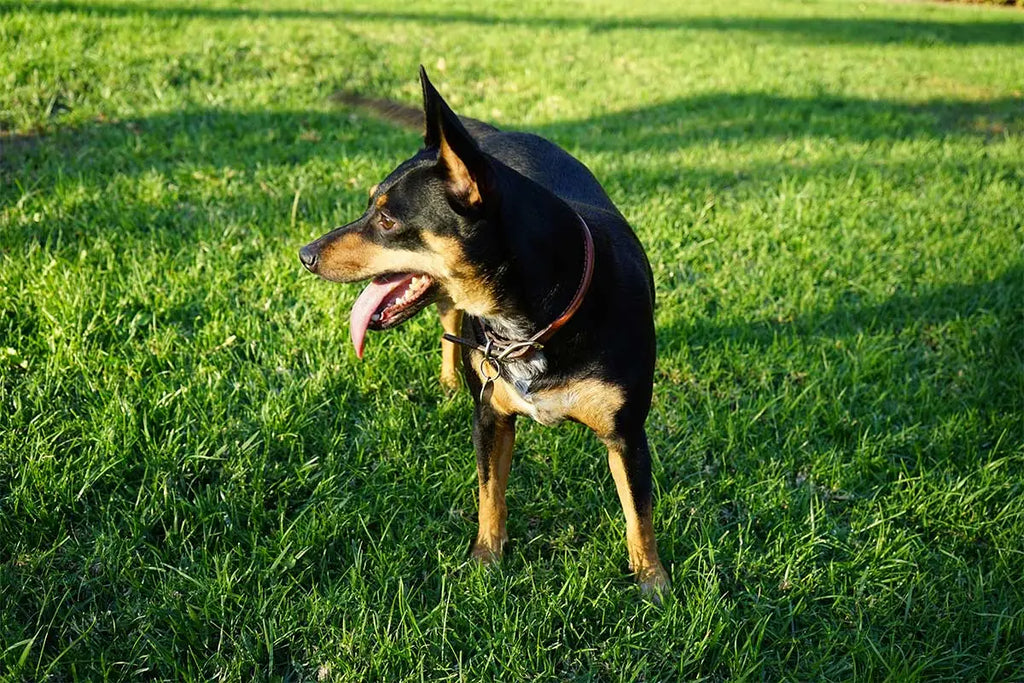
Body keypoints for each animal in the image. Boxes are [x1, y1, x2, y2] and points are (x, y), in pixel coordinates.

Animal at [299, 66, 667, 593]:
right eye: (369, 206)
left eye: (386, 219)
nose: (305, 254)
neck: (535, 322)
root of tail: (491, 134)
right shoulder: (491, 417)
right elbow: (489, 493)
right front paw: (485, 561)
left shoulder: (627, 435)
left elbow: (639, 514)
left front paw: (653, 583)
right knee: (450, 321)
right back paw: (449, 380)